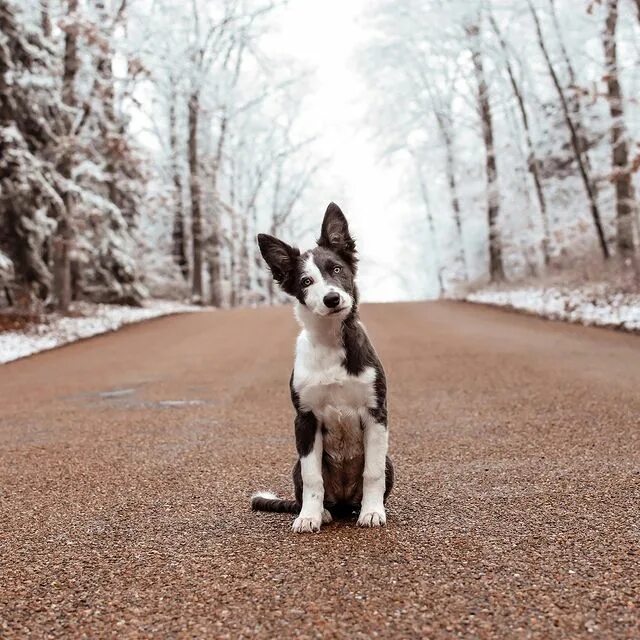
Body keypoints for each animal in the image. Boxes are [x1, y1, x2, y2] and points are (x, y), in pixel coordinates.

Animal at [251, 202, 392, 532]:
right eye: (306, 281)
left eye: (336, 269)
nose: (332, 298)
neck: (329, 341)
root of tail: (342, 502)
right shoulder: (305, 419)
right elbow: (313, 477)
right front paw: (309, 517)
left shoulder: (376, 413)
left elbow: (372, 473)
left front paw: (372, 512)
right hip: (295, 464)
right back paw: (324, 512)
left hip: (390, 461)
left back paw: (359, 509)